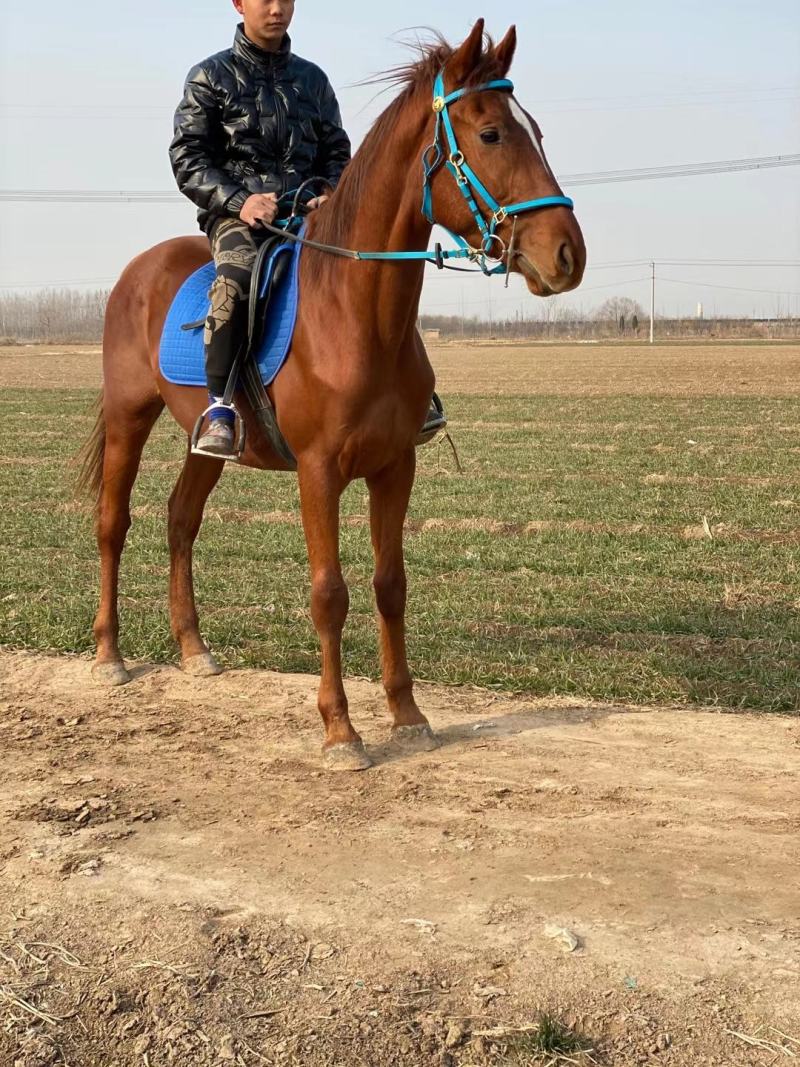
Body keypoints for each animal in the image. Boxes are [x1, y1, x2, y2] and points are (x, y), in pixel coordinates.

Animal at [77, 20, 586, 771]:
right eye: (492, 134)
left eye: (538, 131)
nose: (567, 255)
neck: (355, 313)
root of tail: (140, 270)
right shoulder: (318, 473)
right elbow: (329, 593)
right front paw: (341, 731)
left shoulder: (395, 467)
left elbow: (389, 586)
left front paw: (407, 714)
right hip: (127, 417)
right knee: (115, 522)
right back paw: (109, 656)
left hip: (205, 438)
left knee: (180, 519)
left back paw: (195, 651)